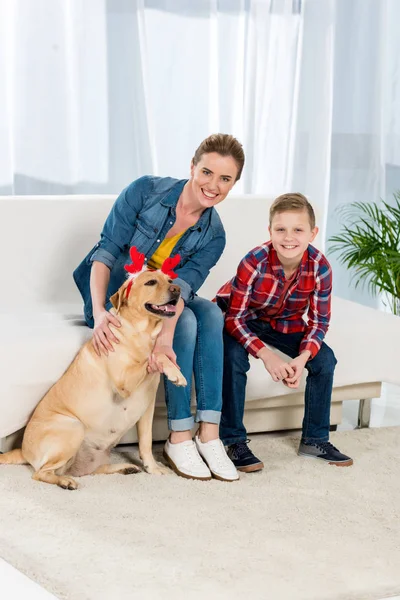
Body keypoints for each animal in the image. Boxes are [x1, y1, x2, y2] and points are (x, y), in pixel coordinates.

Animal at [0, 266, 188, 488]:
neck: (141, 333)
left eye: (170, 280)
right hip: (73, 427)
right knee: (40, 473)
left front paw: (152, 468)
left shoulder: (147, 407)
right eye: (151, 282)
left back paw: (125, 468)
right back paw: (65, 481)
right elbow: (155, 356)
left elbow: (146, 442)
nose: (177, 289)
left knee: (89, 470)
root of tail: (22, 450)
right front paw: (176, 373)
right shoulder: (123, 381)